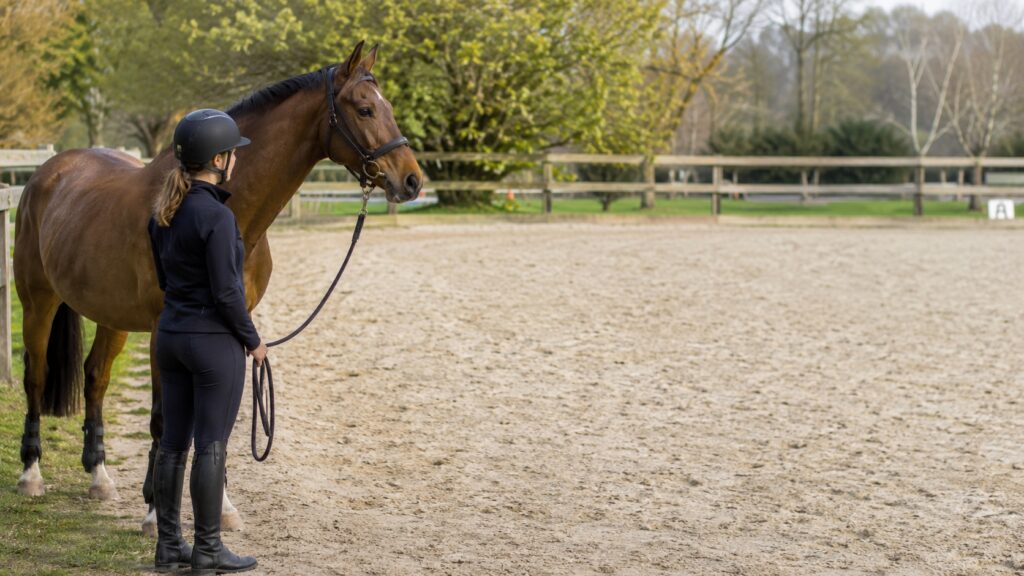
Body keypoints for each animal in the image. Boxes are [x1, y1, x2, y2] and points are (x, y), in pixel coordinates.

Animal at [13, 41, 422, 535]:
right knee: (36, 378)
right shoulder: (163, 331)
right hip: (38, 301)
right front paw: (155, 511)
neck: (222, 213)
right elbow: (164, 419)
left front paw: (221, 505)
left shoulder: (233, 328)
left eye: (387, 107)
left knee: (95, 378)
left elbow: (218, 420)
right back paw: (31, 474)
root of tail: (48, 171)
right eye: (364, 109)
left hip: (112, 316)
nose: (412, 179)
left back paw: (99, 476)